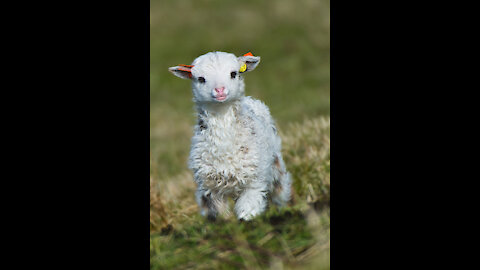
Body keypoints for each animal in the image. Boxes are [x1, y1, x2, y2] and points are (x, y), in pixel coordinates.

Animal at [167, 51, 290, 220]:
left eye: (233, 73)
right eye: (201, 79)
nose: (220, 90)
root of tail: (250, 100)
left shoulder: (254, 181)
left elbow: (247, 211)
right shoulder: (209, 189)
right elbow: (219, 216)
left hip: (276, 166)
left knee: (280, 191)